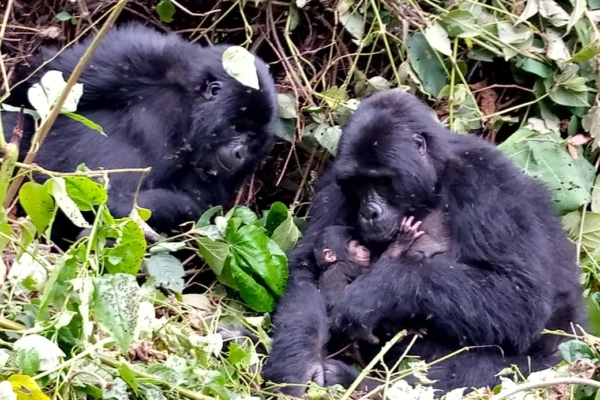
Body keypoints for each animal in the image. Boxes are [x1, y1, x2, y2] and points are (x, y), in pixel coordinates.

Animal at [262, 89, 584, 396]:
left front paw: (373, 293)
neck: (435, 178)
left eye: (381, 181)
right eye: (357, 184)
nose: (369, 213)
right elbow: (308, 265)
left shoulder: (486, 180)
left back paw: (362, 384)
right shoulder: (333, 181)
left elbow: (520, 296)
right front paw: (299, 367)